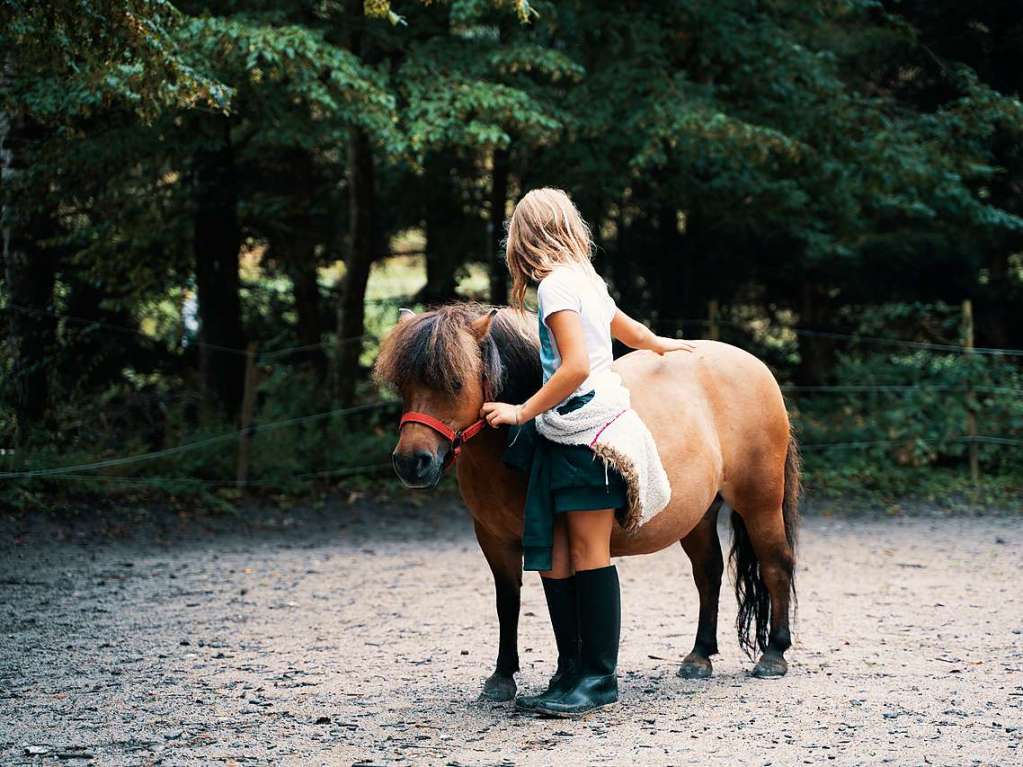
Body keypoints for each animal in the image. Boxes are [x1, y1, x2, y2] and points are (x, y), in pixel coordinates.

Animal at [376, 302, 797, 707]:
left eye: (455, 382)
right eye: (402, 385)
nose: (411, 463)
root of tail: (753, 365)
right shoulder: (495, 541)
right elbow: (510, 602)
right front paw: (505, 678)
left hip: (759, 502)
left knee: (776, 563)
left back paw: (774, 655)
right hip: (699, 517)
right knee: (708, 574)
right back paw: (699, 656)